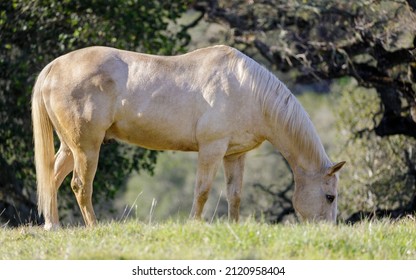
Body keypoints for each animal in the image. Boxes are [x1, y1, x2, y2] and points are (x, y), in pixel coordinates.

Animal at [31, 45, 344, 230]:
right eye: (330, 196)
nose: (327, 232)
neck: (247, 88)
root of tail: (53, 68)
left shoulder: (235, 154)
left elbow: (235, 194)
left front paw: (233, 227)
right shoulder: (211, 149)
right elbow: (202, 190)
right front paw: (195, 225)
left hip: (70, 147)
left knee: (52, 177)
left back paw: (52, 226)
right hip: (86, 148)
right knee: (80, 186)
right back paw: (94, 228)